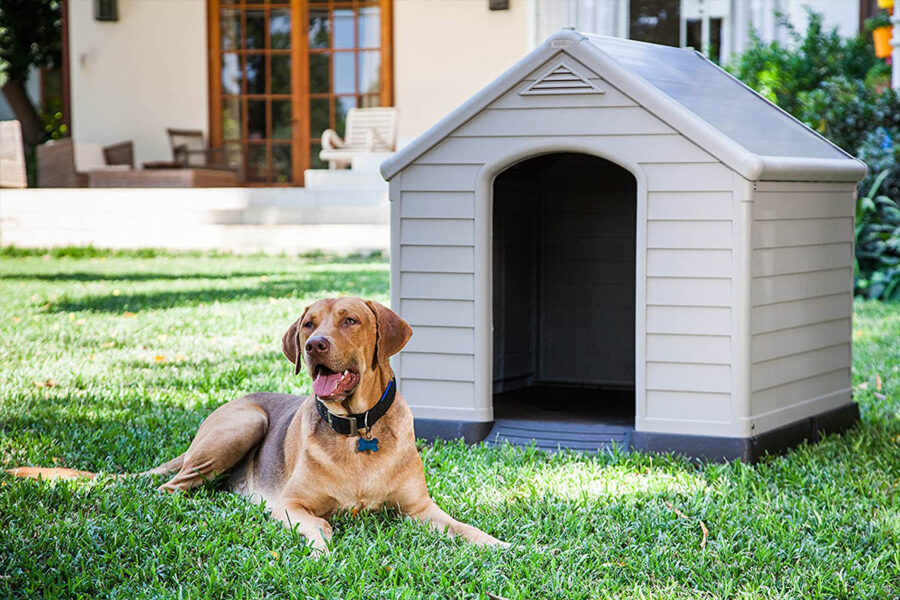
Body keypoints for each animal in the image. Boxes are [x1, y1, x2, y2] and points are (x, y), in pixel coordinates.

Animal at [8, 296, 506, 552]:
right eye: (308, 324)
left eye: (350, 320)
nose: (315, 345)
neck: (358, 430)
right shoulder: (292, 504)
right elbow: (318, 526)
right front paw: (322, 549)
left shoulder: (420, 510)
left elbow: (468, 529)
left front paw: (505, 547)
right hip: (243, 422)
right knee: (170, 488)